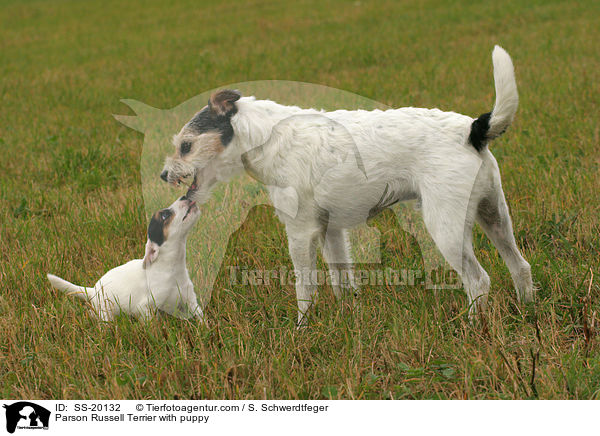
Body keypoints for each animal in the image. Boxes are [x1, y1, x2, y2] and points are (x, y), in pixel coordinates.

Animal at [47, 197, 202, 320]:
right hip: (106, 312)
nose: (184, 196)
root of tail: (92, 290)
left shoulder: (190, 299)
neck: (172, 268)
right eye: (164, 215)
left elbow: (200, 315)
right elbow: (153, 324)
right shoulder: (145, 307)